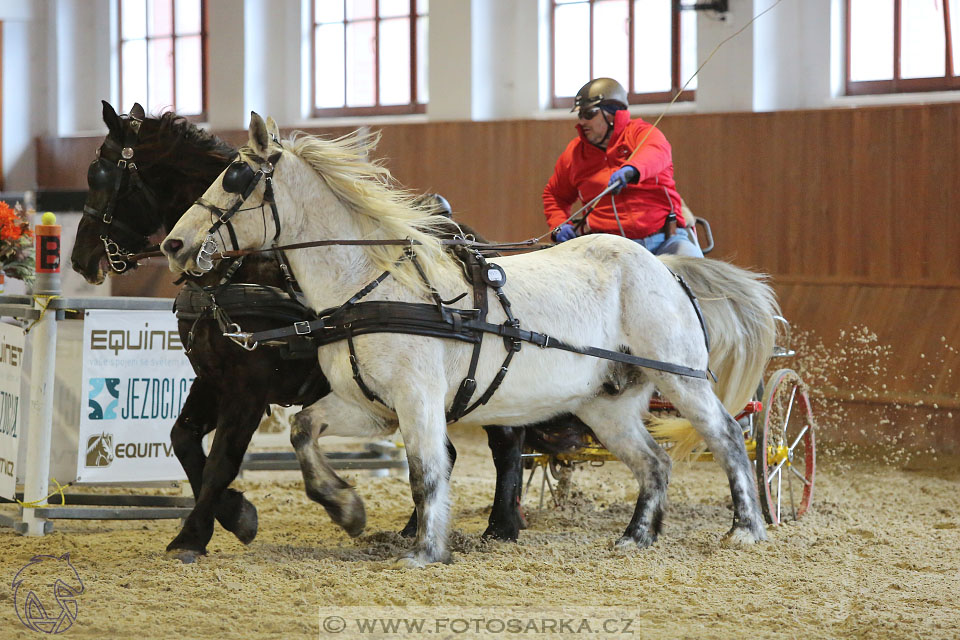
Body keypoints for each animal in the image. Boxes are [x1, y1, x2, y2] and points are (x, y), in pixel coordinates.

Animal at [165, 112, 776, 568]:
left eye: (234, 178)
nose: (174, 244)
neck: (372, 284)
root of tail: (663, 266)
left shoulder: (417, 399)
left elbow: (428, 470)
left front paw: (426, 549)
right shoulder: (371, 406)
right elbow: (303, 431)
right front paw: (346, 508)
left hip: (681, 378)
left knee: (726, 436)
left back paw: (746, 528)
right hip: (607, 404)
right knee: (653, 462)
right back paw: (636, 536)